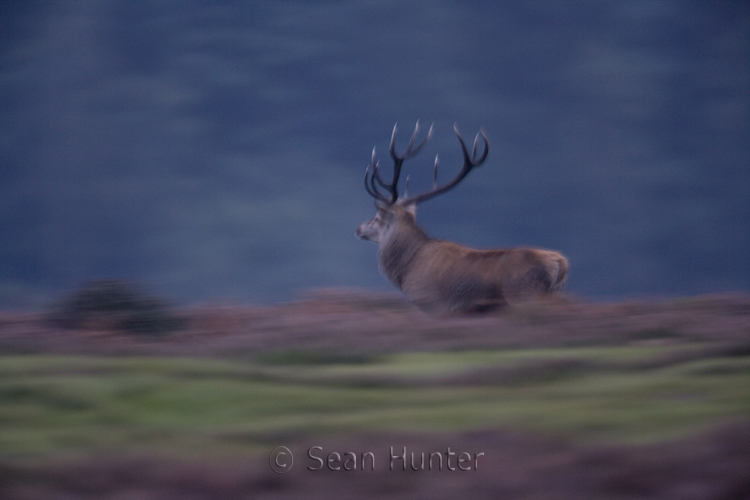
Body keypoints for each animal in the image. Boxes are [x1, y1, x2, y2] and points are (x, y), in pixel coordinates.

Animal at [355, 121, 568, 314]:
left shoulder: (431, 303)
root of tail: (560, 263)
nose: (358, 228)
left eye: (377, 218)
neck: (407, 270)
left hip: (525, 295)